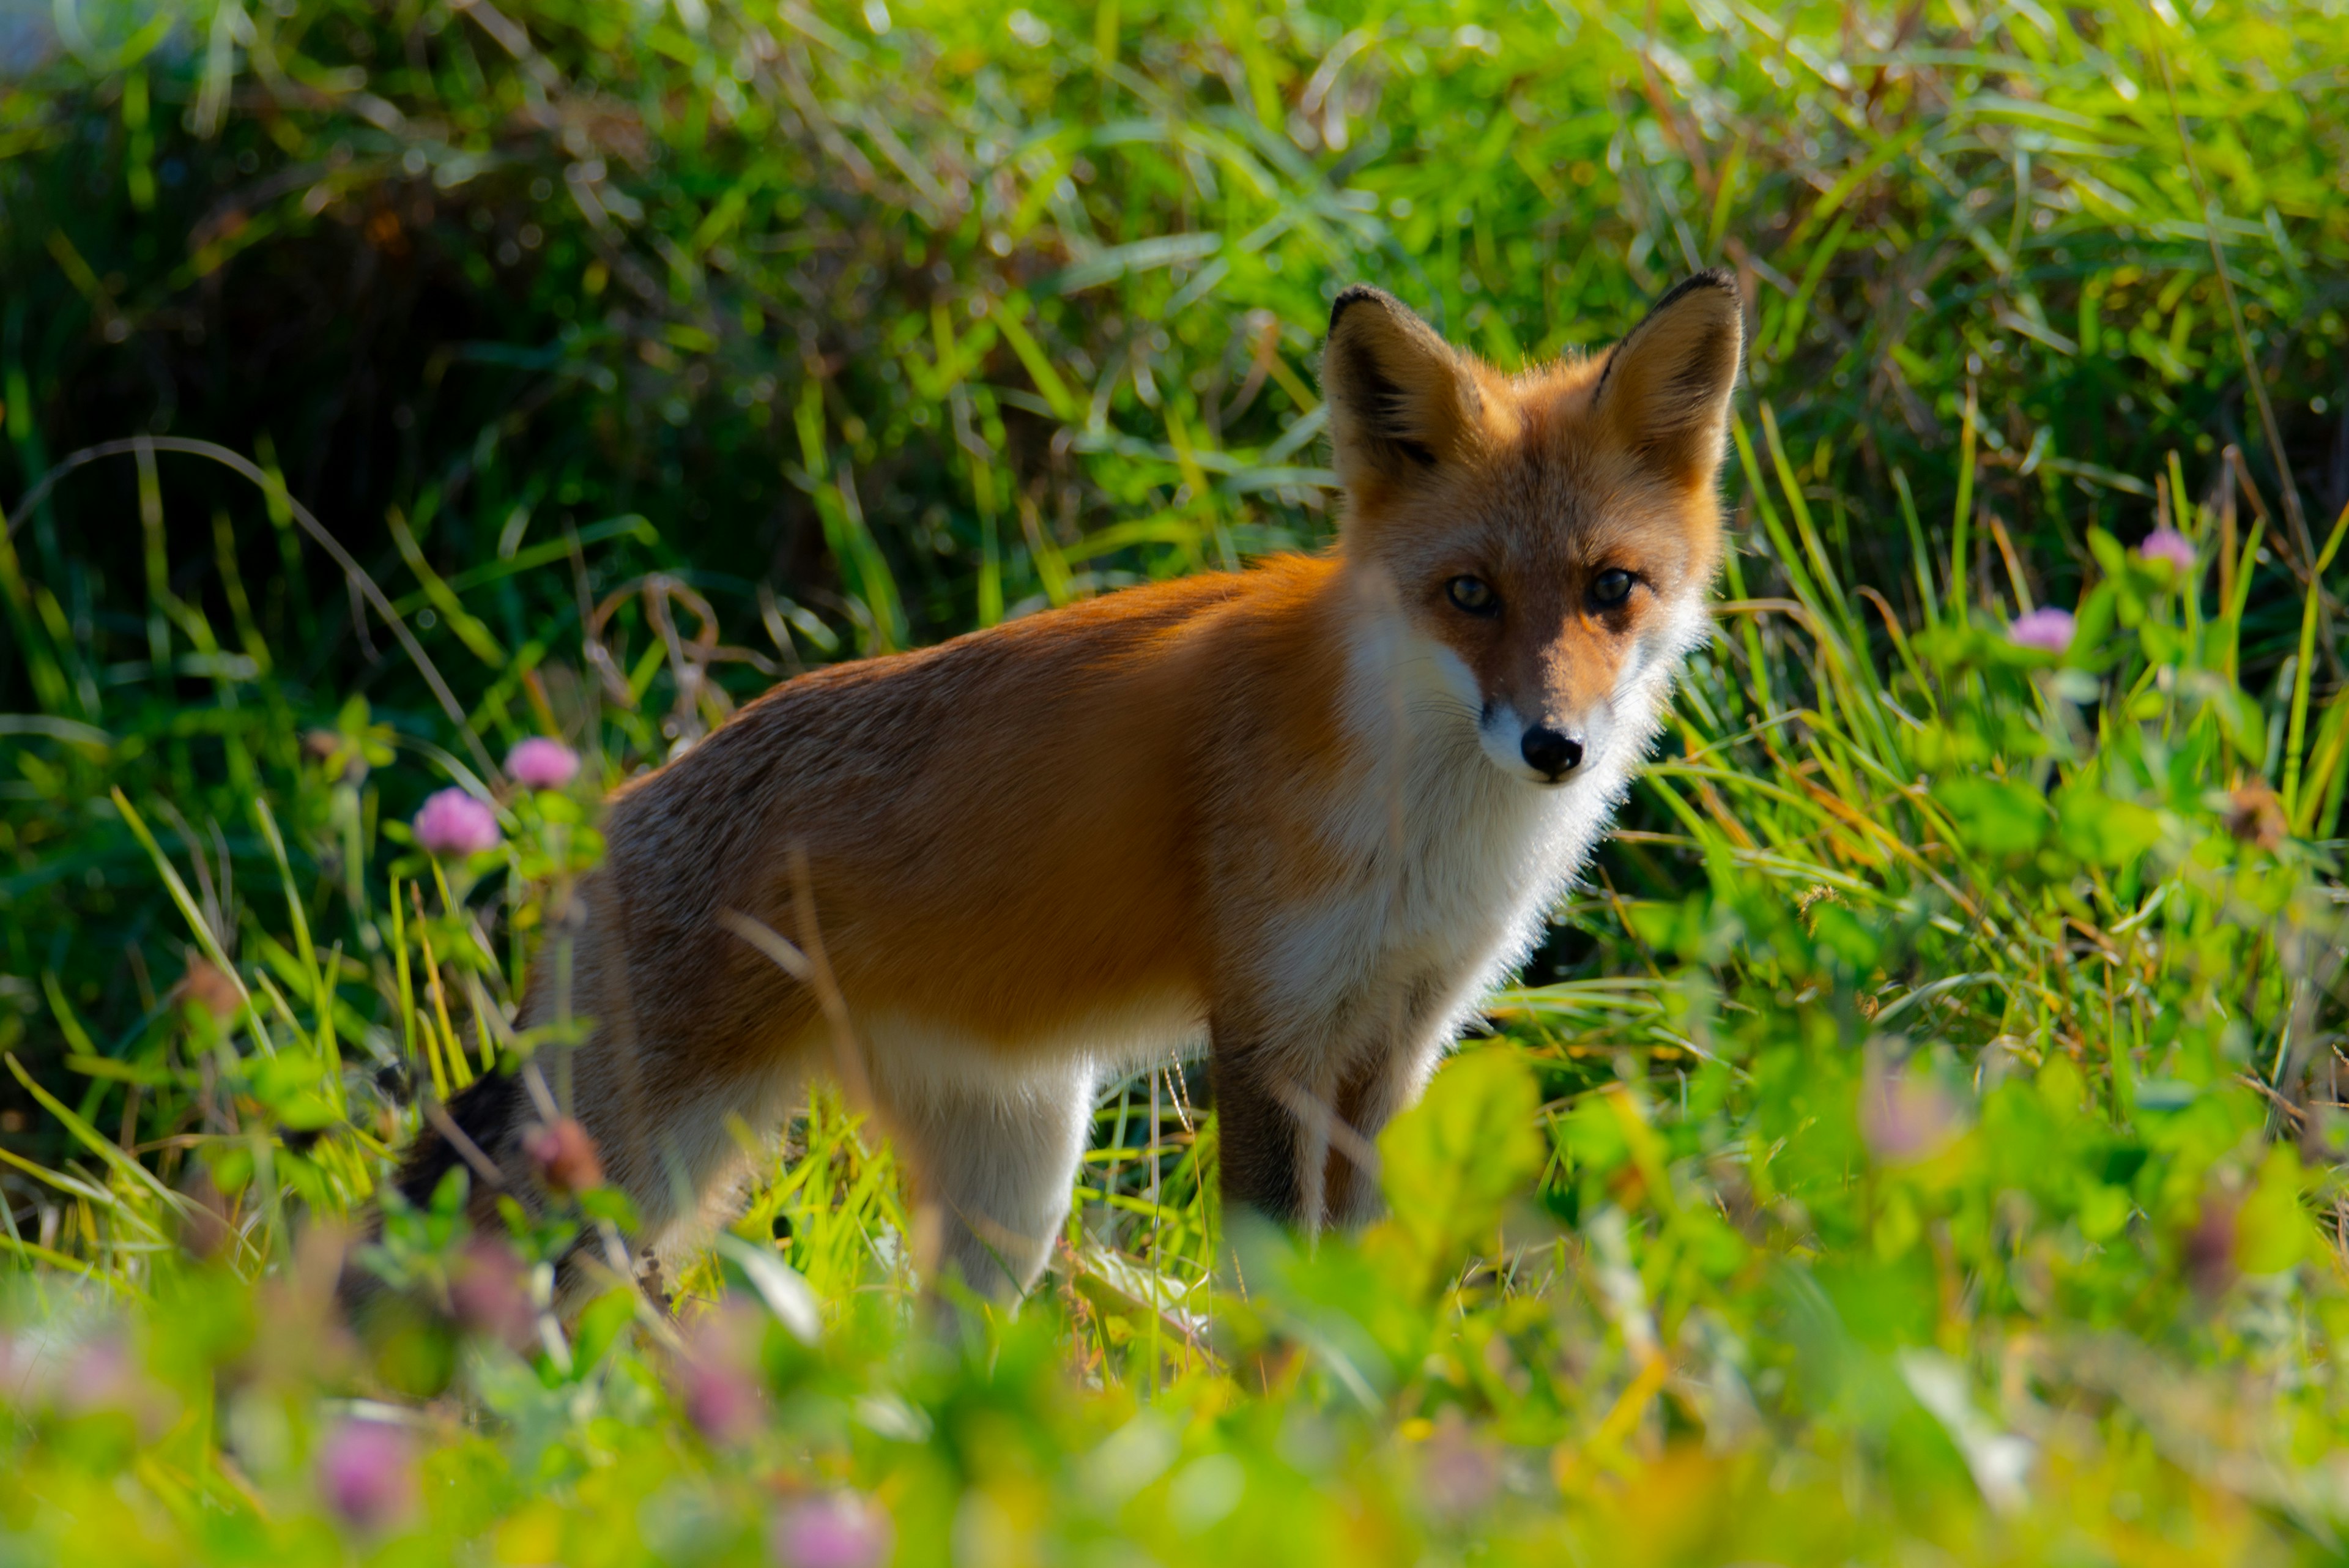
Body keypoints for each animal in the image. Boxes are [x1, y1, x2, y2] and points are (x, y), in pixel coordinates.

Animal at [390, 267, 1747, 1298]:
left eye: (1611, 589)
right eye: (1470, 593)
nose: (1554, 746)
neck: (1429, 827)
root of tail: (614, 811)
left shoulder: (1401, 1039)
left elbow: (1354, 1287)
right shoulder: (1272, 1029)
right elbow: (1272, 1299)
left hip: (1016, 1187)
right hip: (627, 1168)